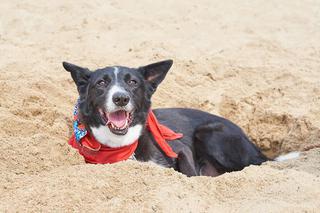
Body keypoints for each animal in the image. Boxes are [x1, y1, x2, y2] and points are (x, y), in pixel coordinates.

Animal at [62, 59, 298, 176]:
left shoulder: (180, 149)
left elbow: (188, 173)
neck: (121, 145)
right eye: (101, 83)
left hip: (209, 133)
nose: (121, 98)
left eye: (133, 82)